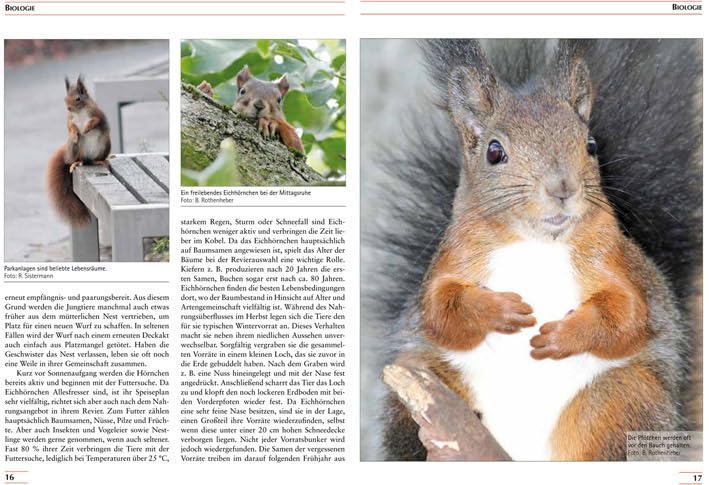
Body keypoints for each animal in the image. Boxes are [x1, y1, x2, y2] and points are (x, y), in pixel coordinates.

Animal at [46, 75, 111, 226]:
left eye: (78, 98)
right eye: (65, 98)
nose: (68, 108)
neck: (80, 112)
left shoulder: (97, 113)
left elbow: (96, 120)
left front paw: (87, 128)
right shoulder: (70, 119)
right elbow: (70, 126)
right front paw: (75, 134)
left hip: (105, 143)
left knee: (95, 159)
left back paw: (101, 161)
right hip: (76, 150)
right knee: (80, 159)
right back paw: (76, 163)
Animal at [366, 40, 702, 461]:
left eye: (590, 145)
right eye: (494, 152)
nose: (562, 188)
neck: (535, 243)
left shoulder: (616, 261)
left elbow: (627, 315)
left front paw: (563, 336)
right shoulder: (452, 259)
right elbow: (440, 309)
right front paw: (497, 310)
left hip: (624, 399)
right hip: (421, 381)